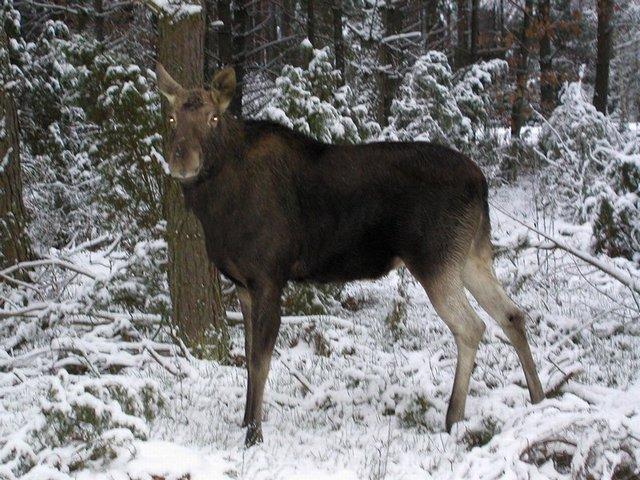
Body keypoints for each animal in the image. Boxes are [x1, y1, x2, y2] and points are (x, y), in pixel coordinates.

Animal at [156, 63, 544, 446]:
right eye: (171, 117)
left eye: (213, 118)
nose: (182, 159)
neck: (216, 208)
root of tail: (482, 184)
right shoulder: (241, 282)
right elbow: (249, 356)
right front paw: (244, 422)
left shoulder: (269, 275)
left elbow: (261, 360)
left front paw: (254, 434)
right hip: (471, 256)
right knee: (512, 314)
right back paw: (539, 399)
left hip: (435, 258)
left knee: (472, 326)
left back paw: (455, 418)